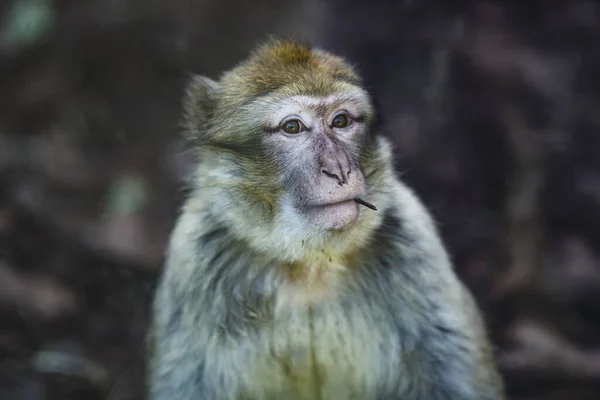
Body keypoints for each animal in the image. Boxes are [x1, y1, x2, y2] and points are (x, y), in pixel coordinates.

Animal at [148, 38, 504, 400]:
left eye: (341, 121)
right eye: (292, 127)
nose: (339, 169)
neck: (310, 266)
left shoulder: (414, 240)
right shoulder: (196, 259)